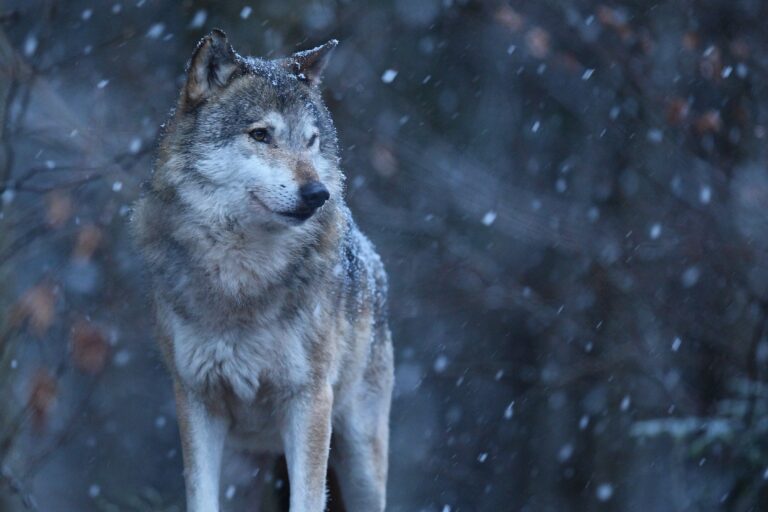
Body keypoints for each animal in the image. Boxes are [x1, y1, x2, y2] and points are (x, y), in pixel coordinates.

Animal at [132, 29, 393, 512]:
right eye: (261, 134)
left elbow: (307, 501)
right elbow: (199, 497)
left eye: (311, 141)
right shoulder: (196, 398)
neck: (243, 278)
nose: (318, 194)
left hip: (361, 463)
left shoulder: (308, 399)